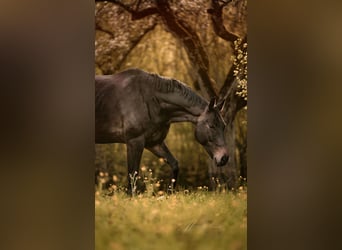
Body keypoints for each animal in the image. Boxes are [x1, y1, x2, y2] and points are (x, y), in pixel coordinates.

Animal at [95, 68, 228, 193]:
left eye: (224, 126)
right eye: (211, 126)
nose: (224, 158)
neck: (150, 99)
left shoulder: (154, 143)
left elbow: (174, 165)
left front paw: (169, 192)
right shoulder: (134, 142)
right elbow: (132, 176)